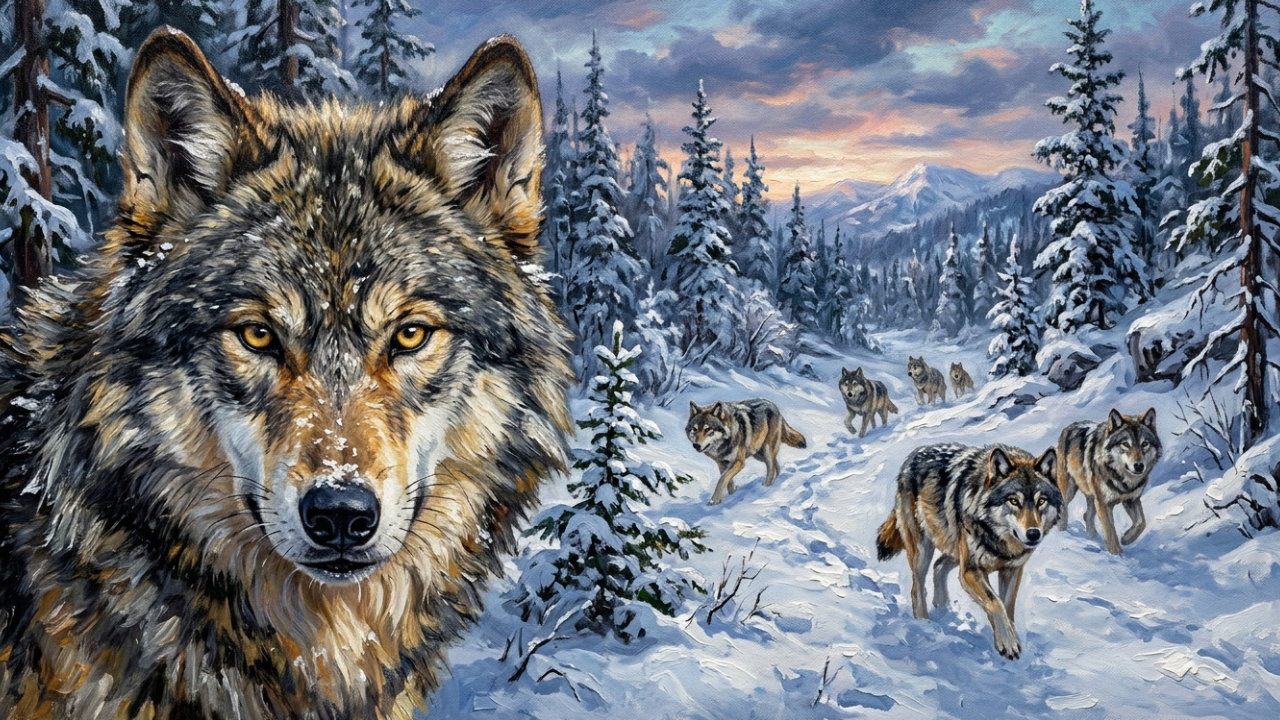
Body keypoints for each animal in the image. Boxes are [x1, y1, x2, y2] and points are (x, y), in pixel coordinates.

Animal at [876, 443, 1061, 659]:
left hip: (955, 549)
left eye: (1041, 501)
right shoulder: (971, 570)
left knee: (939, 566)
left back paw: (943, 608)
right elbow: (995, 603)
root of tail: (913, 455)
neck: (999, 540)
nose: (1033, 534)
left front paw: (1012, 637)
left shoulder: (1012, 570)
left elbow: (1007, 605)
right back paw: (924, 623)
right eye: (1014, 501)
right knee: (917, 587)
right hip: (924, 551)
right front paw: (1008, 644)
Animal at [1055, 408, 1161, 555]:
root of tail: (1069, 427)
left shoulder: (1132, 499)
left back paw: (1094, 538)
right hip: (1069, 492)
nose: (1139, 466)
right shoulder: (1104, 504)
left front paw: (1126, 538)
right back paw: (1062, 533)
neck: (1122, 480)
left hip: (1092, 498)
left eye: (1144, 444)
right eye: (1125, 444)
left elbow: (1141, 523)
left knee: (1087, 516)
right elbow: (1110, 532)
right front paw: (1117, 555)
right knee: (1063, 511)